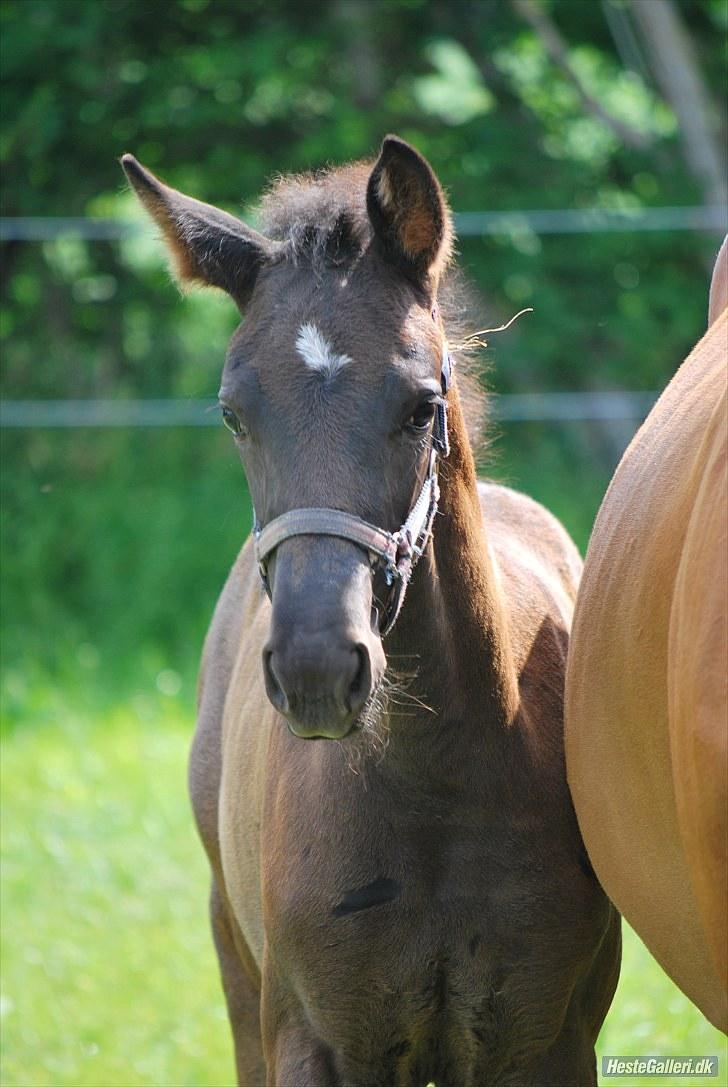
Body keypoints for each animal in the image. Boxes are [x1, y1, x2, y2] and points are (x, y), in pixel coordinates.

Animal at [122, 138, 617, 1087]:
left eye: (422, 406)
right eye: (233, 413)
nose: (316, 668)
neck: (440, 783)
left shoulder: (548, 1040)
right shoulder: (309, 1039)